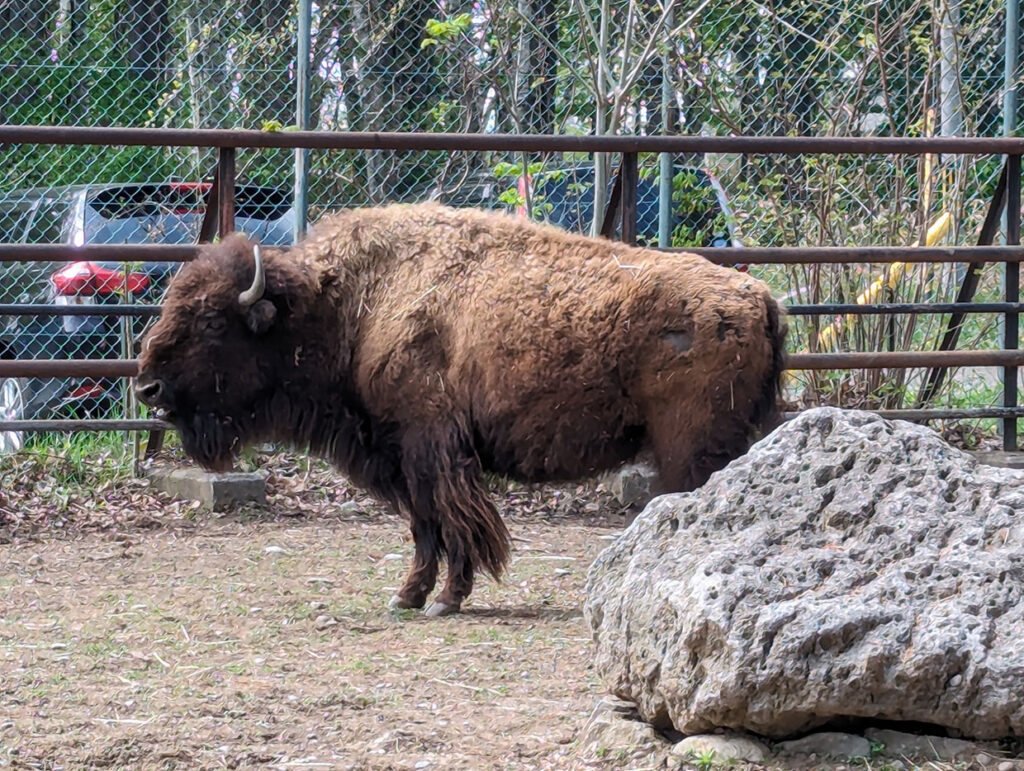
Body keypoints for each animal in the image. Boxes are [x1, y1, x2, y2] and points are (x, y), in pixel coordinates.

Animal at [134, 201, 782, 618]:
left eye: (212, 320)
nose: (147, 388)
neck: (351, 306)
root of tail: (757, 296)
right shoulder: (399, 455)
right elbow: (425, 525)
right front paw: (409, 596)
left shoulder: (430, 446)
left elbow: (449, 521)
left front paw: (443, 598)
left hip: (691, 451)